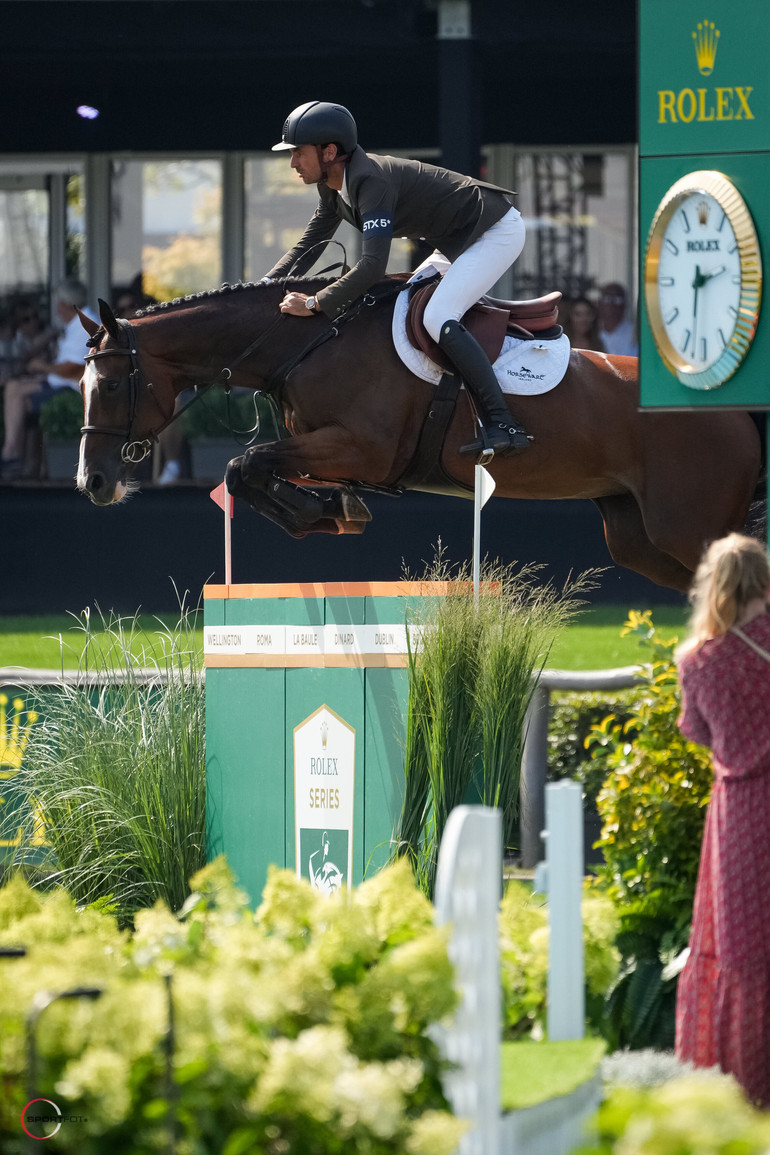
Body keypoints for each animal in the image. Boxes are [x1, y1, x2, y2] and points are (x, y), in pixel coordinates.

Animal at [75, 274, 761, 591]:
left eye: (107, 385)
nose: (92, 483)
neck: (305, 342)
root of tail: (735, 410)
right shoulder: (324, 450)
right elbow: (251, 469)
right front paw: (328, 509)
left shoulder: (363, 449)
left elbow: (244, 466)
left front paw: (325, 512)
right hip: (638, 537)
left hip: (688, 528)